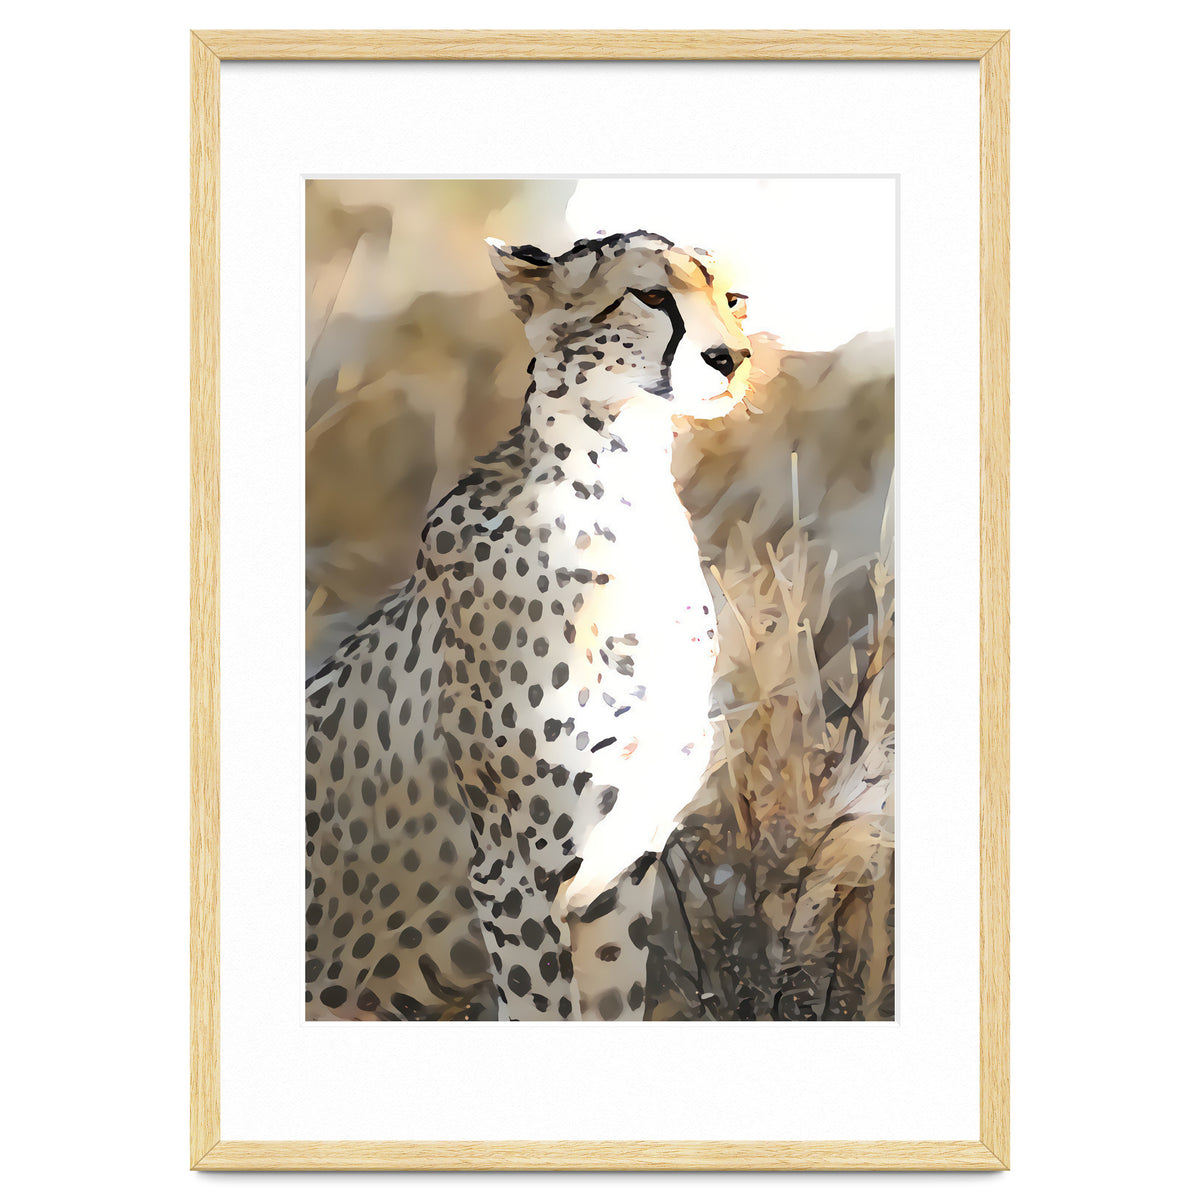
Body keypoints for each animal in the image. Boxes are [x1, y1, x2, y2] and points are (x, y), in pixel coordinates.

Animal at [304, 230, 752, 1020]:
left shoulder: (618, 880)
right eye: (651, 294)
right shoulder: (513, 880)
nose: (733, 358)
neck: (624, 494)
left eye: (733, 299)